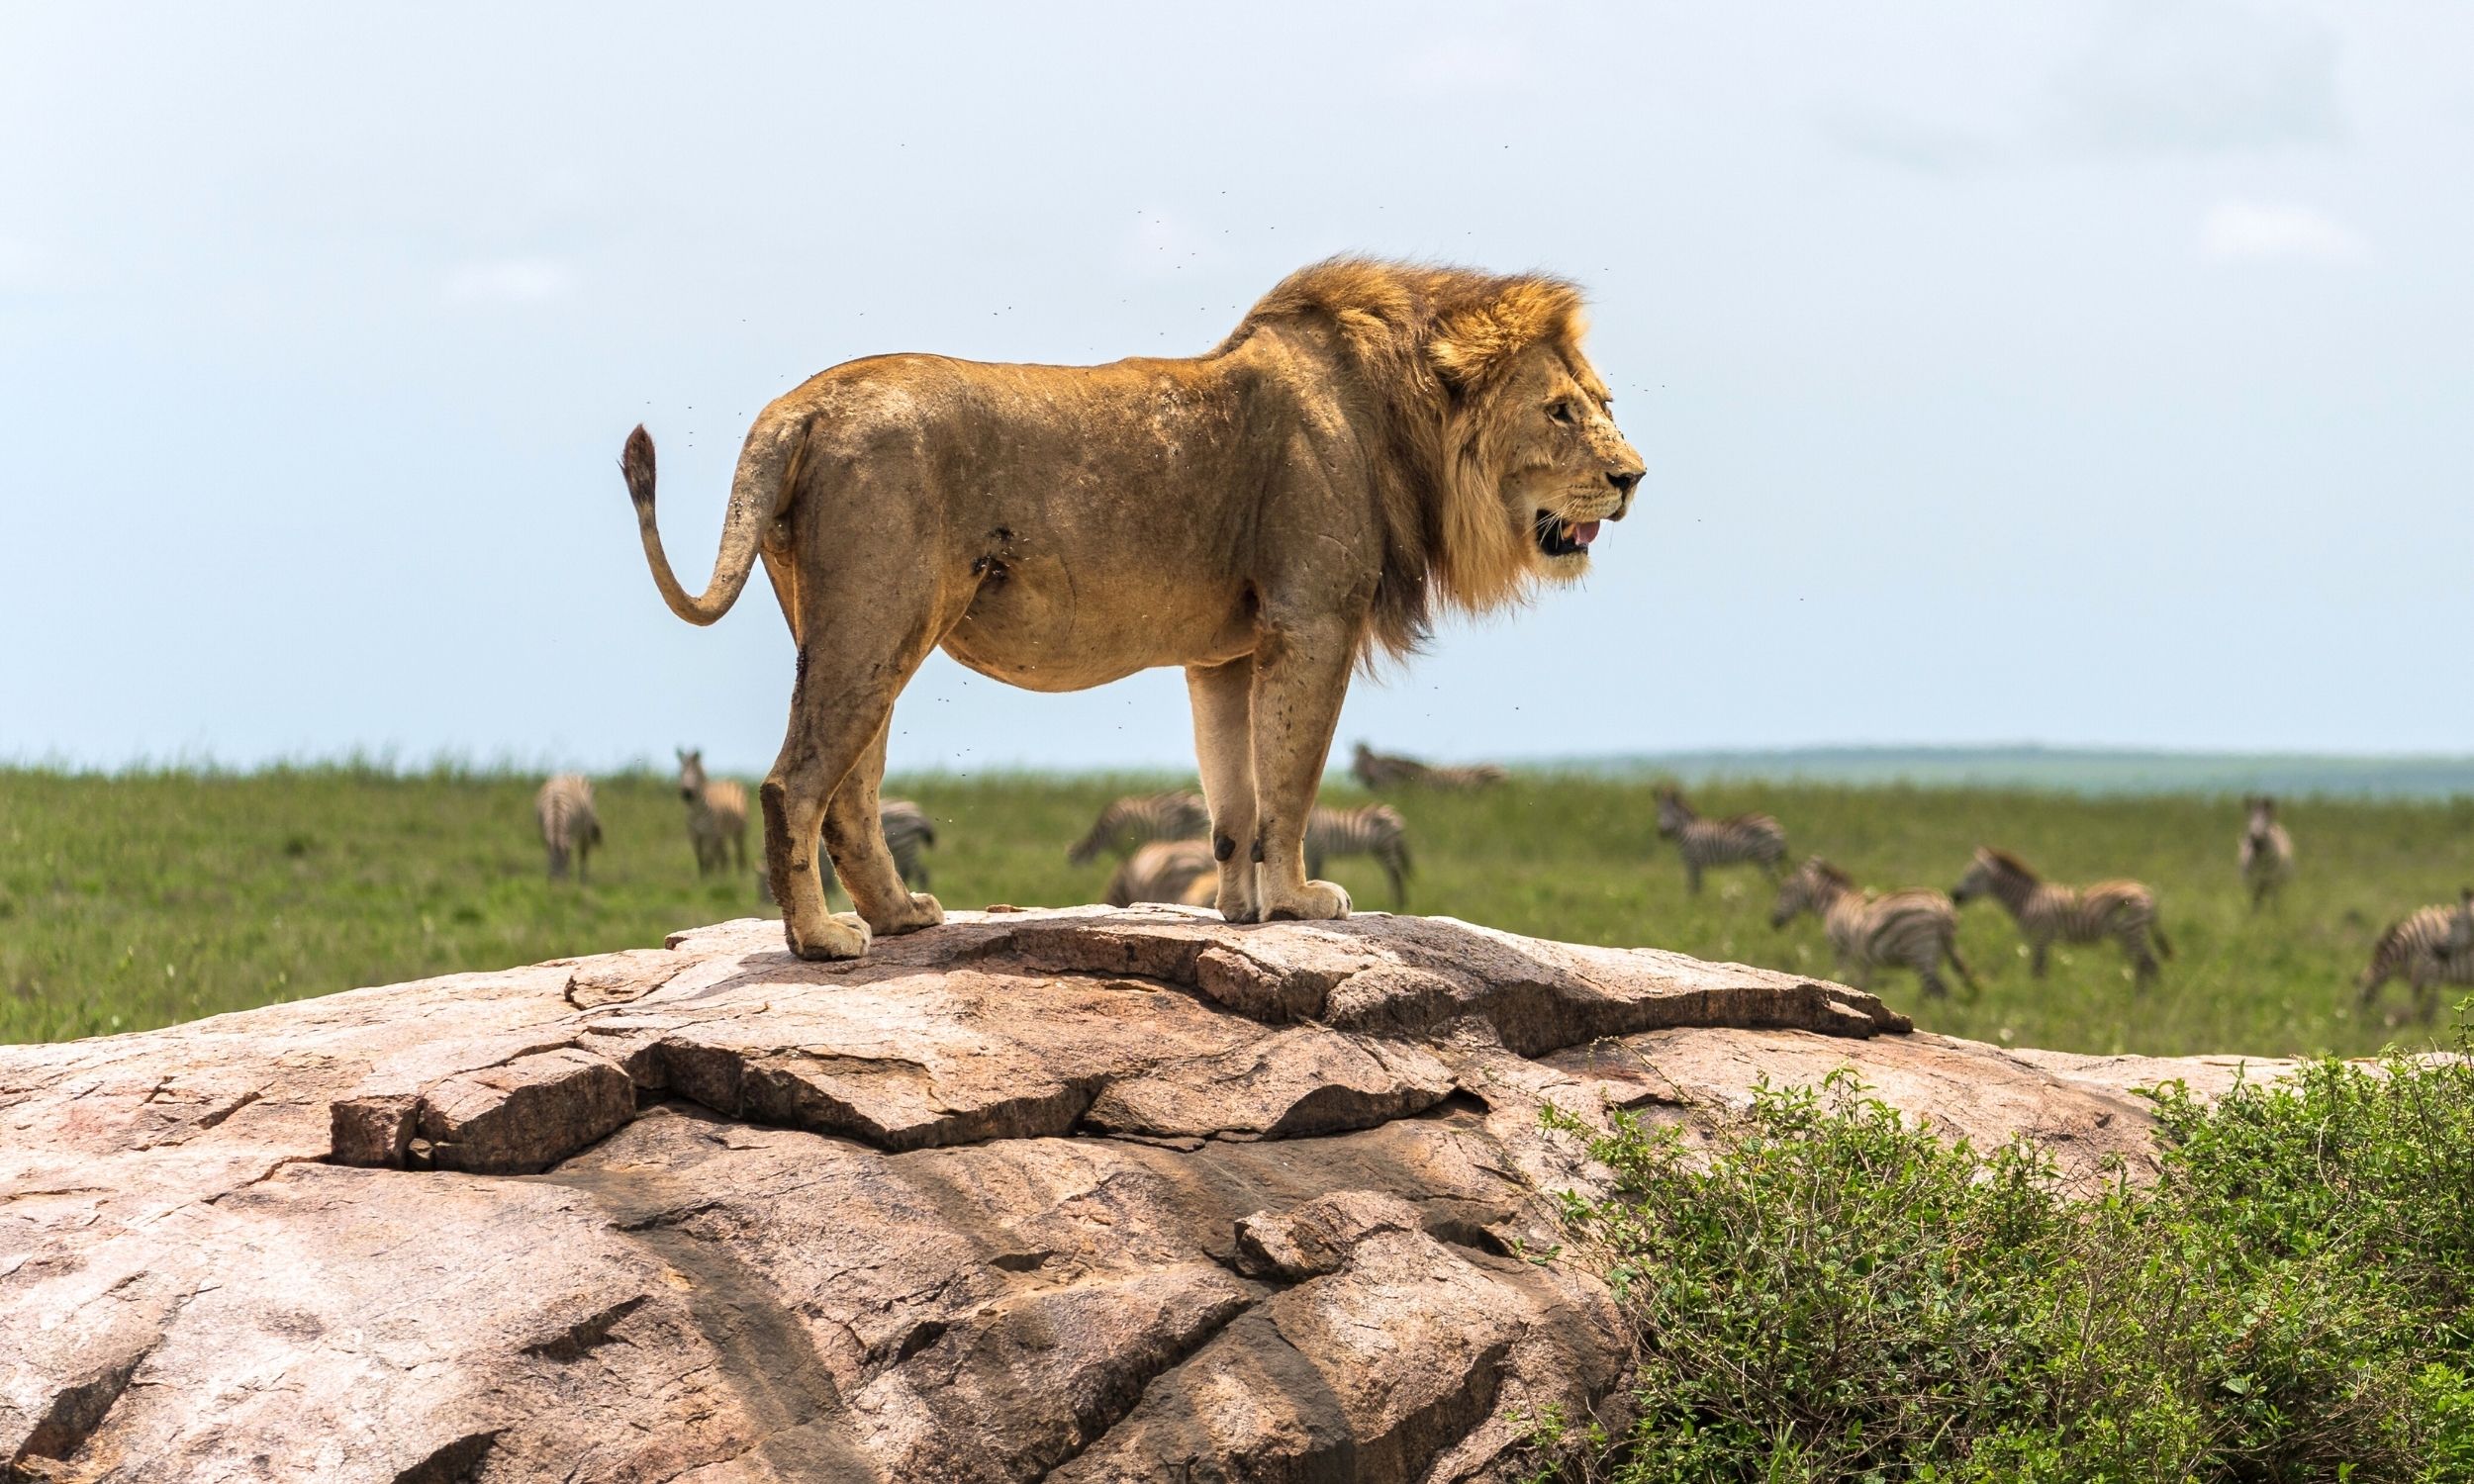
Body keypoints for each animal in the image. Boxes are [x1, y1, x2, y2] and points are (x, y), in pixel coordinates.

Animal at [622, 258, 1644, 960]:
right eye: (1560, 411)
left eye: (1604, 400)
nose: (1634, 476)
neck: (1402, 417)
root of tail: (800, 403)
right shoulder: (1313, 621)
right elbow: (1293, 780)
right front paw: (1302, 901)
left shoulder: (1226, 653)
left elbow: (1236, 792)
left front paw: (1241, 909)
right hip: (877, 619)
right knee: (794, 784)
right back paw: (822, 941)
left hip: (854, 625)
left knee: (853, 791)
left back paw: (903, 915)